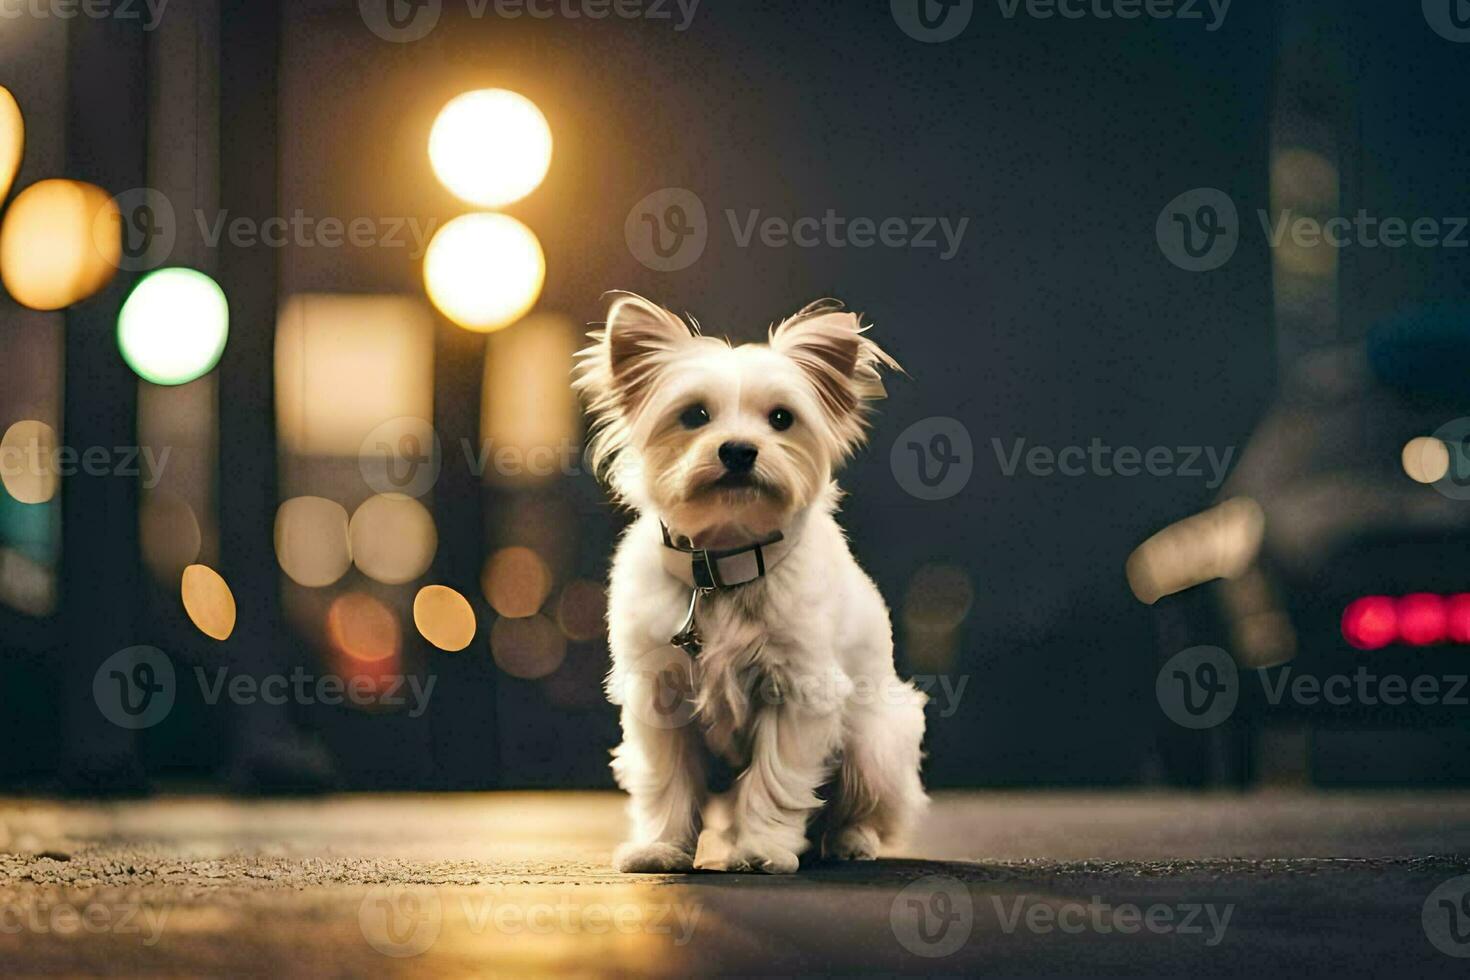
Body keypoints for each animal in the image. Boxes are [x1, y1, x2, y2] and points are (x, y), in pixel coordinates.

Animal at [576, 290, 929, 875]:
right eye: (694, 415)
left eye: (782, 419)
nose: (739, 450)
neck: (723, 566)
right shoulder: (660, 697)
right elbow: (667, 783)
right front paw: (662, 848)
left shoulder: (798, 694)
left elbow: (775, 781)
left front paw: (761, 849)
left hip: (875, 745)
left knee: (856, 805)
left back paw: (849, 841)